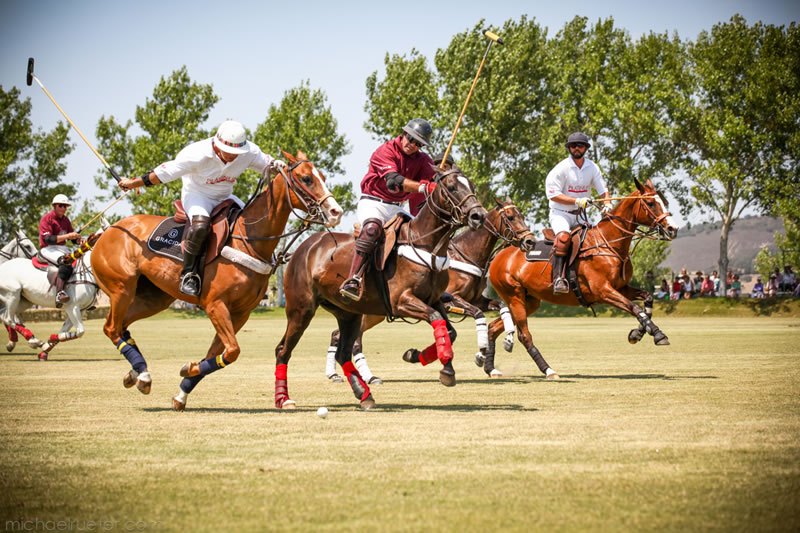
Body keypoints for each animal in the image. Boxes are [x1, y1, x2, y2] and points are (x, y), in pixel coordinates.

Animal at [0, 218, 108, 360]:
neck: (86, 271)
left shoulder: (81, 309)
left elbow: (63, 332)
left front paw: (46, 349)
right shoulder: (72, 307)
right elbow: (80, 332)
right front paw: (47, 343)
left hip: (23, 300)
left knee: (5, 316)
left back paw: (26, 341)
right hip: (12, 295)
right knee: (8, 318)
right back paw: (33, 341)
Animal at [90, 152, 340, 410]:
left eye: (322, 177)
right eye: (306, 178)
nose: (335, 212)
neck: (249, 239)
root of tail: (109, 229)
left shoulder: (240, 313)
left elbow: (218, 354)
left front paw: (182, 391)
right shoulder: (215, 305)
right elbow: (232, 351)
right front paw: (188, 368)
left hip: (153, 298)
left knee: (121, 327)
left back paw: (137, 374)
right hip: (121, 288)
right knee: (111, 328)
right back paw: (142, 374)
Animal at [276, 165, 488, 408]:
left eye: (472, 186)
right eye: (452, 187)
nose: (479, 216)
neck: (428, 245)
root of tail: (301, 249)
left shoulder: (434, 299)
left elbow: (449, 331)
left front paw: (418, 356)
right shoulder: (401, 301)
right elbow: (437, 320)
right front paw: (444, 369)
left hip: (349, 313)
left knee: (343, 352)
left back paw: (364, 394)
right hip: (301, 309)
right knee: (283, 350)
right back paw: (283, 398)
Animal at [324, 197, 536, 380]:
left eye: (522, 215)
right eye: (511, 217)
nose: (530, 241)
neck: (468, 254)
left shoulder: (476, 299)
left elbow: (502, 306)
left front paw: (508, 340)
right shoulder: (452, 300)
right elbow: (478, 314)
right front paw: (481, 353)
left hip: (375, 313)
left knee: (337, 334)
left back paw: (337, 374)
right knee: (352, 339)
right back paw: (364, 376)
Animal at [484, 179, 680, 378]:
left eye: (663, 201)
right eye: (650, 203)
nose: (673, 229)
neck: (608, 244)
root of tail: (498, 256)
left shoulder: (621, 287)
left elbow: (647, 299)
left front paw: (637, 334)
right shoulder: (603, 291)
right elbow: (634, 307)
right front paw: (658, 334)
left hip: (529, 301)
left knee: (493, 327)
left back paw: (489, 367)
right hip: (514, 296)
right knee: (524, 335)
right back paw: (548, 370)